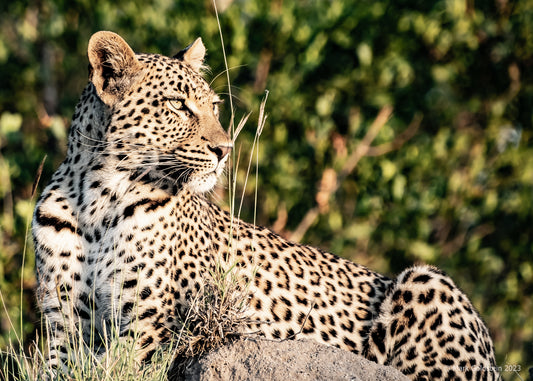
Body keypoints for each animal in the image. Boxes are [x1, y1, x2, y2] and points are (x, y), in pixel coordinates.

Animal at [33, 31, 498, 378]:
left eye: (213, 106)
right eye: (178, 106)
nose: (224, 149)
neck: (97, 199)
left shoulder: (150, 323)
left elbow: (118, 366)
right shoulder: (62, 326)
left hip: (426, 280)